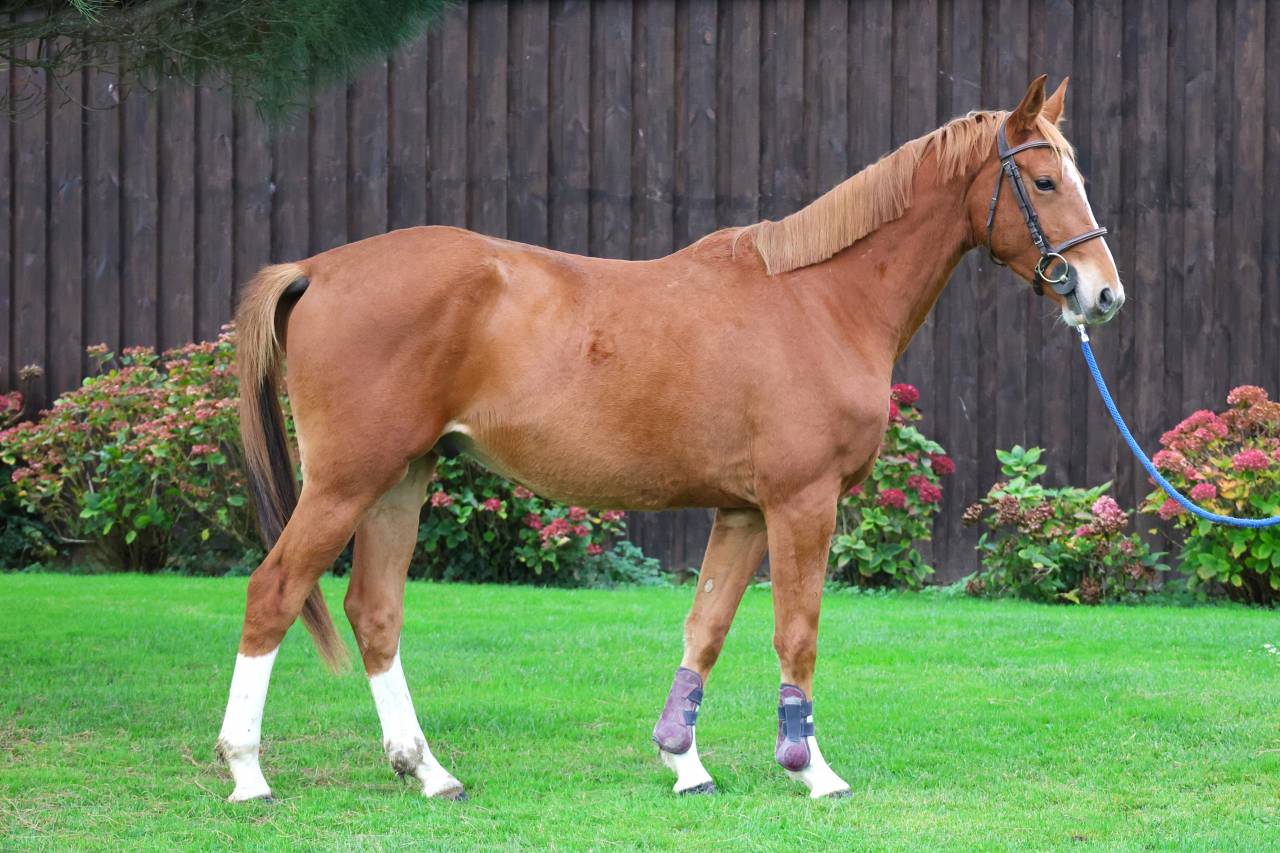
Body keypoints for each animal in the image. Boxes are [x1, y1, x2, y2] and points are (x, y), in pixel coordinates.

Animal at [215, 75, 1123, 802]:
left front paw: (684, 763)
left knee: (375, 611)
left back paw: (428, 770)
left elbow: (705, 629)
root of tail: (318, 270)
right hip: (346, 481)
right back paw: (248, 771)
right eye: (1044, 179)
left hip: (401, 477)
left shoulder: (743, 512)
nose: (1103, 293)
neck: (821, 299)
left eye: (1080, 176)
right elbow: (796, 632)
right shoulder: (801, 504)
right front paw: (812, 771)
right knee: (272, 592)